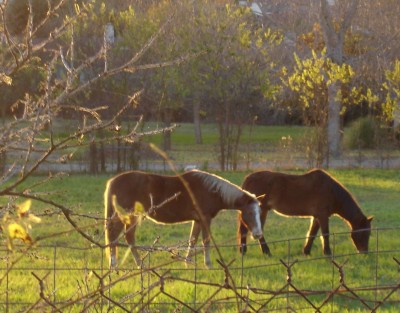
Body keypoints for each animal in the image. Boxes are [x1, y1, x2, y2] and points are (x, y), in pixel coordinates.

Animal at [104, 169, 264, 266]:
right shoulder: (205, 219)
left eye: (259, 212)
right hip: (127, 217)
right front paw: (208, 264)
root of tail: (113, 181)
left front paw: (188, 262)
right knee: (120, 237)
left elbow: (193, 240)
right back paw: (123, 265)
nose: (258, 234)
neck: (212, 190)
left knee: (122, 237)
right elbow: (206, 241)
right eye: (250, 213)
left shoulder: (198, 220)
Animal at [238, 169, 372, 255]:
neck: (332, 192)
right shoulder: (323, 216)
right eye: (363, 233)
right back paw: (264, 251)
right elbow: (325, 234)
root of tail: (248, 178)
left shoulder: (317, 216)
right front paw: (327, 253)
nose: (364, 252)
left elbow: (312, 234)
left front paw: (306, 251)